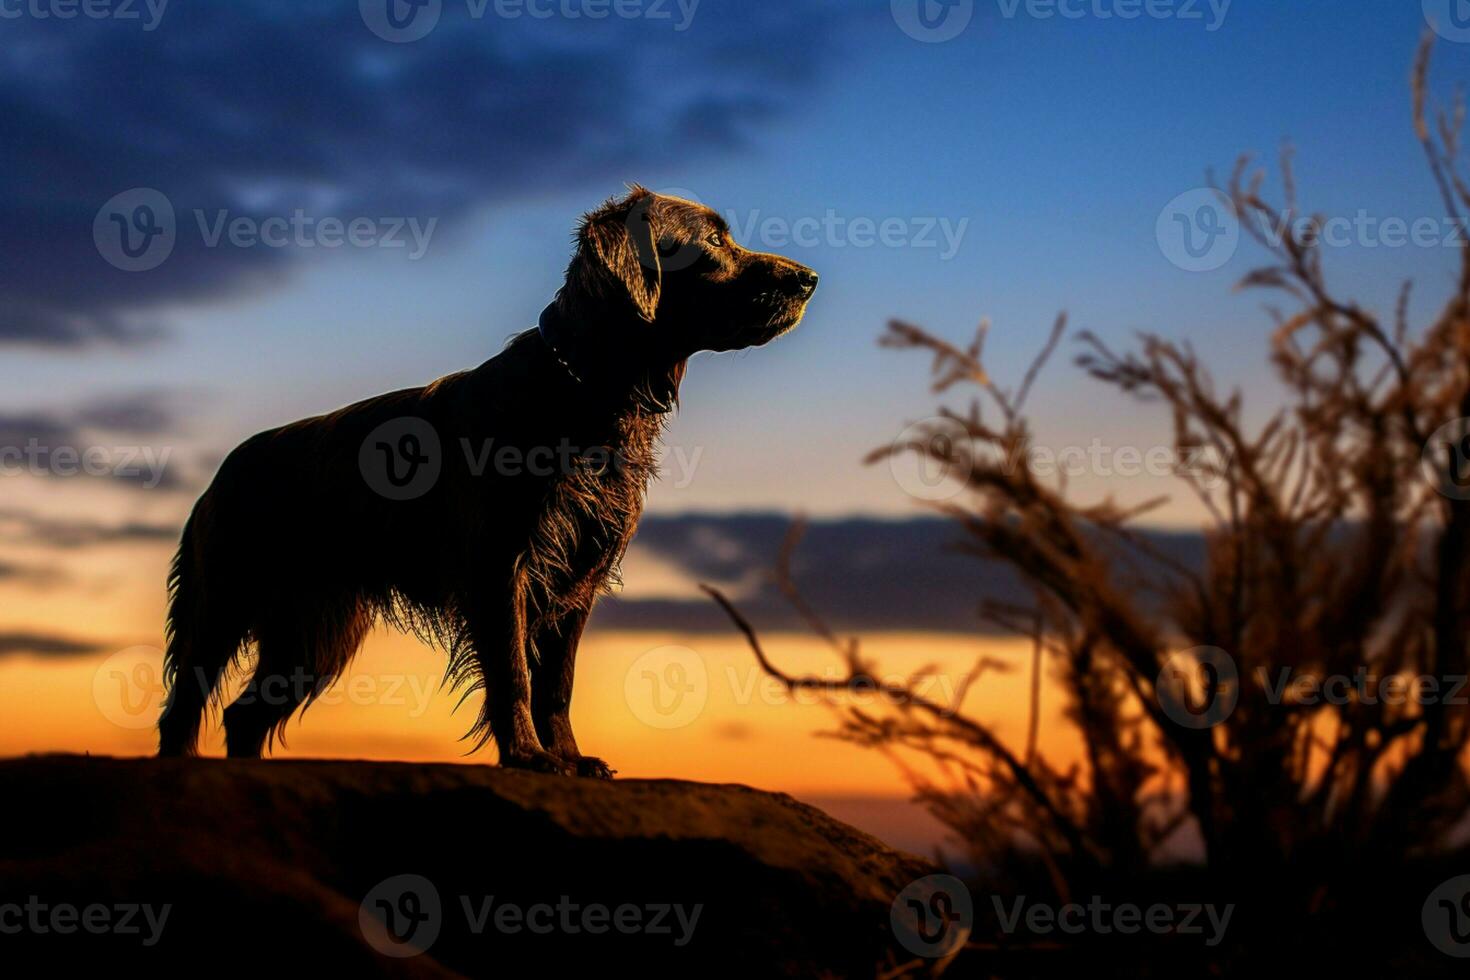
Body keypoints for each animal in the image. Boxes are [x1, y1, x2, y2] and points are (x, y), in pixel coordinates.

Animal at [156, 189, 823, 775]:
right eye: (712, 239)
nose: (809, 279)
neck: (583, 393)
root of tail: (226, 467)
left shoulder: (578, 579)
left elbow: (557, 683)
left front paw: (572, 758)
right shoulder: (501, 564)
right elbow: (514, 672)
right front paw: (528, 755)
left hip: (314, 634)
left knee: (243, 716)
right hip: (224, 602)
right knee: (183, 707)